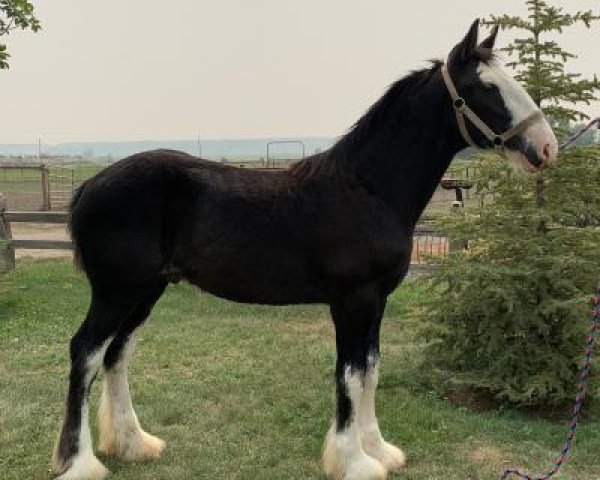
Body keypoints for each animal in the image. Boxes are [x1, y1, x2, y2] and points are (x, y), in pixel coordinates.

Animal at [51, 20, 556, 480]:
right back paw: (80, 463)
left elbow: (371, 369)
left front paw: (380, 451)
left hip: (146, 291)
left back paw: (134, 444)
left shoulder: (376, 301)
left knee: (117, 355)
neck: (365, 189)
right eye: (485, 87)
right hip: (116, 291)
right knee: (86, 353)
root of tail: (90, 186)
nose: (546, 147)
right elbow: (350, 375)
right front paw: (355, 462)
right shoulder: (352, 300)